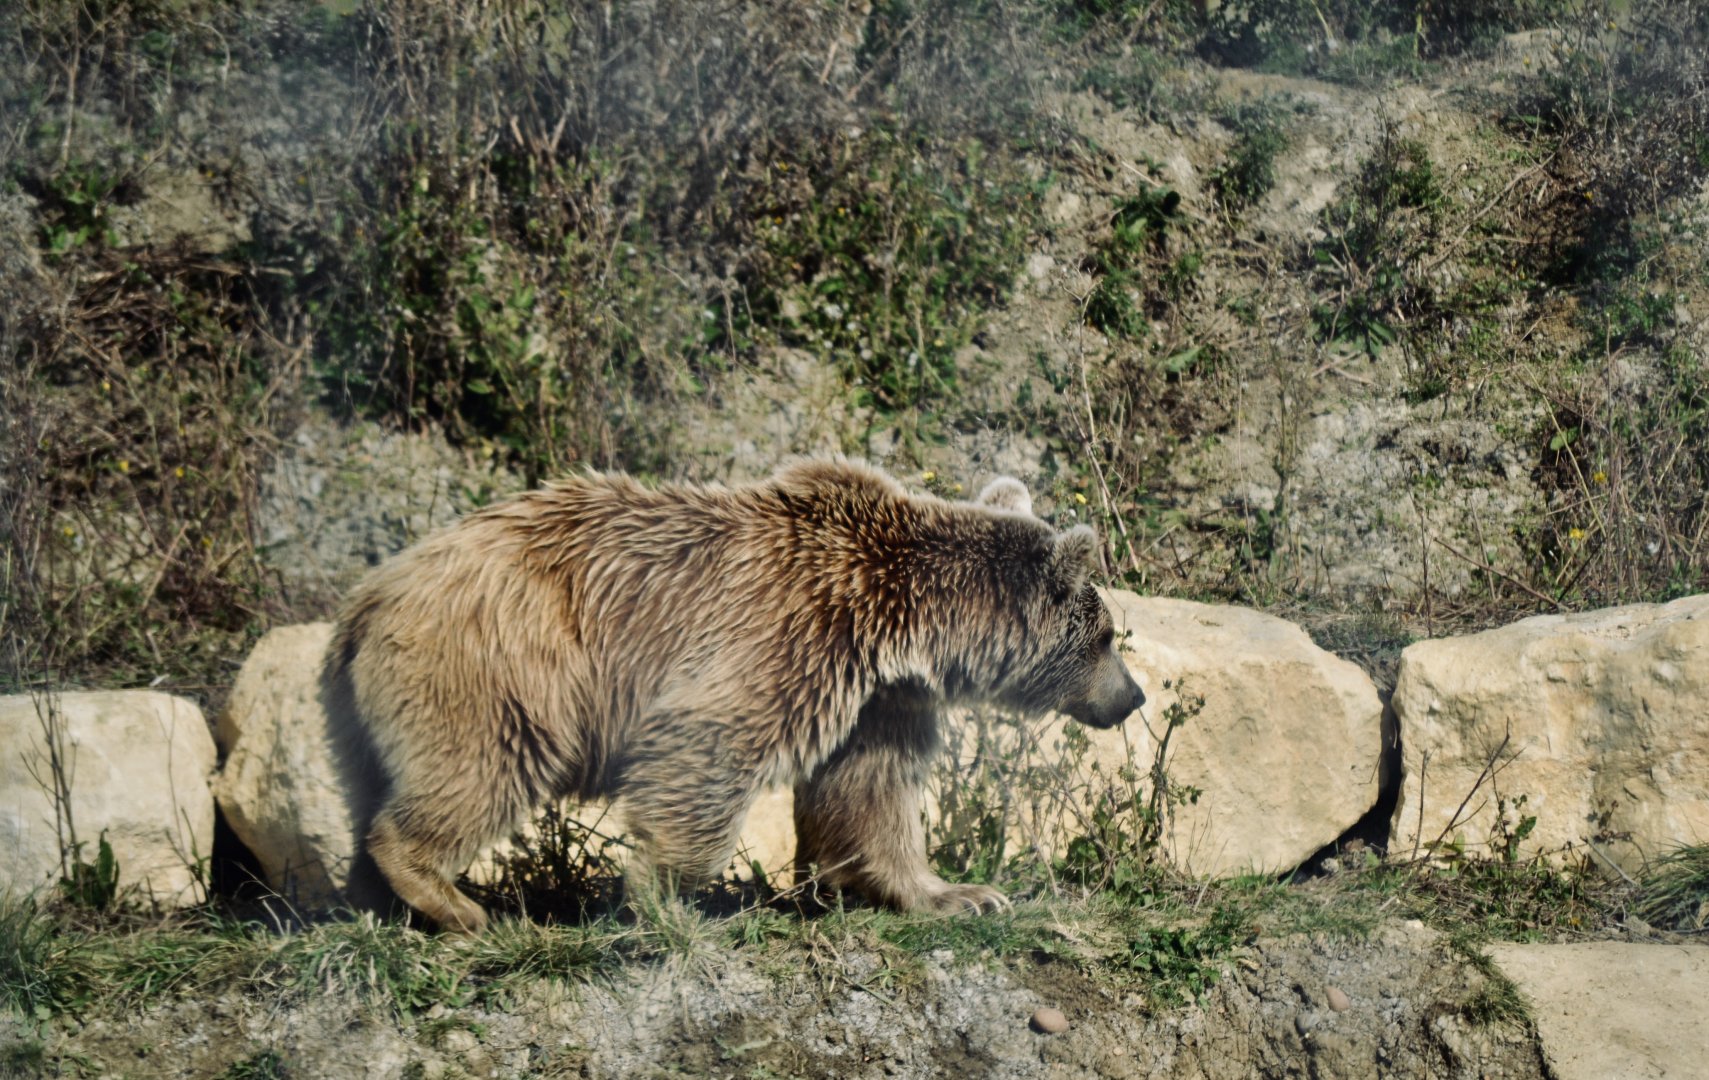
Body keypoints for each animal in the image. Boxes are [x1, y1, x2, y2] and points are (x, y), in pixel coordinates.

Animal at [322, 459, 1144, 932]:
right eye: (1107, 634)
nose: (1132, 697)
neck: (902, 617)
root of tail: (365, 599)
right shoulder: (793, 630)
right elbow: (708, 742)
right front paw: (661, 893)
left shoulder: (877, 695)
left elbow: (871, 791)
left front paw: (957, 892)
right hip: (502, 669)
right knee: (480, 768)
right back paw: (457, 902)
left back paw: (373, 899)